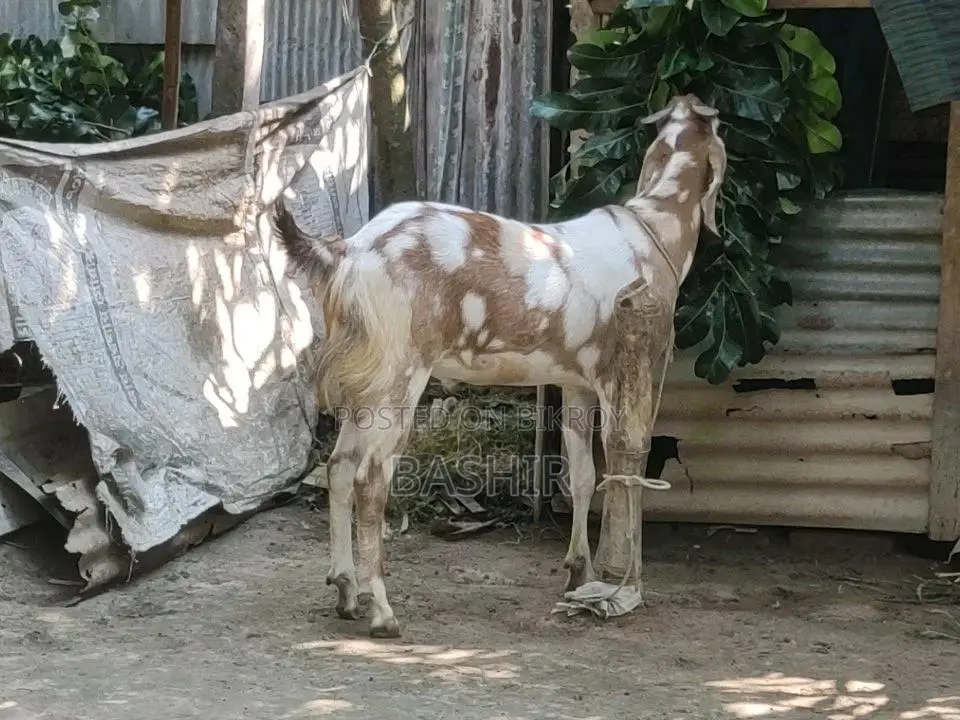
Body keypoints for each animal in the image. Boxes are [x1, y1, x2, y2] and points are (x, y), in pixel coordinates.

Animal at [271, 93, 728, 638]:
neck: (655, 227)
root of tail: (349, 251)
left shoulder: (576, 383)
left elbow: (583, 477)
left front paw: (580, 575)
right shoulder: (625, 369)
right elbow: (626, 464)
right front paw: (621, 587)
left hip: (371, 379)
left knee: (339, 468)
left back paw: (344, 590)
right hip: (401, 377)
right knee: (370, 481)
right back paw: (381, 610)